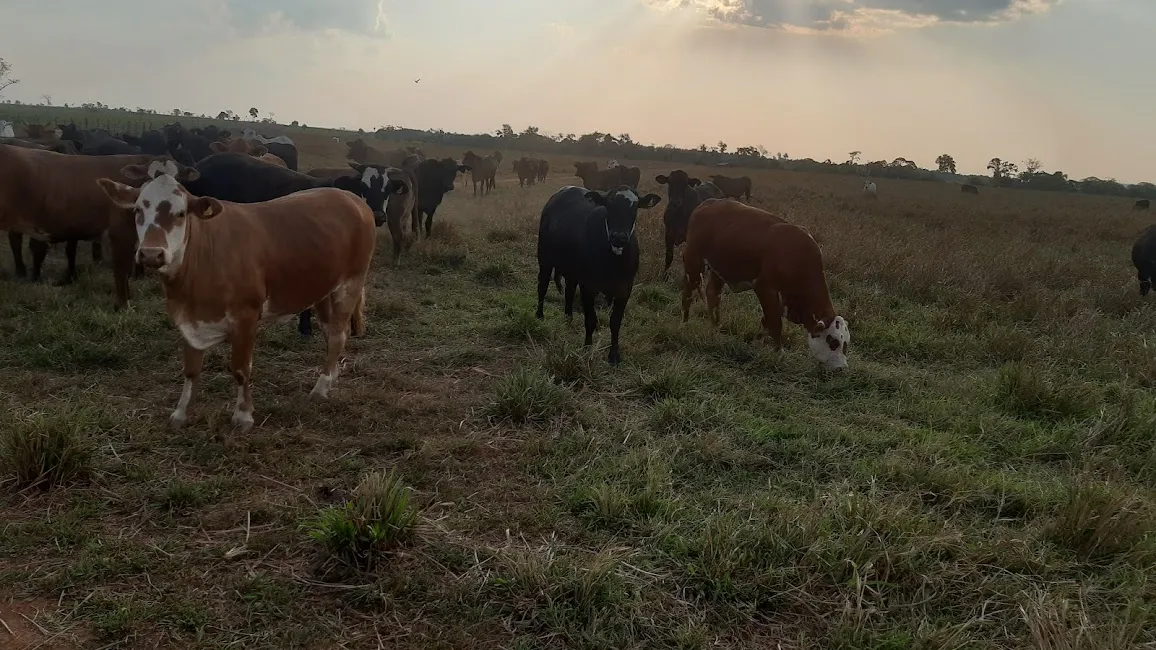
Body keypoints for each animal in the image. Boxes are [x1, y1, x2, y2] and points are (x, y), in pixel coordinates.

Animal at [95, 161, 374, 432]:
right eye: (138, 211)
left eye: (181, 214)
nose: (152, 254)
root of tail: (352, 198)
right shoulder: (189, 318)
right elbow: (191, 369)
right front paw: (181, 413)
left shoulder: (246, 316)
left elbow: (241, 369)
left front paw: (243, 415)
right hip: (323, 288)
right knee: (332, 332)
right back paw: (331, 377)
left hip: (351, 283)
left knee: (337, 335)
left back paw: (321, 387)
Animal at [534, 185, 661, 360]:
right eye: (609, 206)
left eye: (635, 207)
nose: (619, 237)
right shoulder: (588, 287)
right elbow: (590, 320)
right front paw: (587, 349)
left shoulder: (625, 289)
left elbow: (615, 322)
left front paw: (614, 355)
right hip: (544, 259)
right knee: (542, 286)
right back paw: (539, 315)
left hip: (572, 272)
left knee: (569, 292)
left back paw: (568, 318)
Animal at [675, 197, 850, 370]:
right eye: (833, 342)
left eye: (845, 343)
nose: (842, 368)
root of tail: (708, 202)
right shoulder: (766, 289)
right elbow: (775, 324)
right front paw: (779, 353)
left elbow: (766, 322)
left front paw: (756, 344)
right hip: (694, 262)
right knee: (688, 293)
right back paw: (685, 322)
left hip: (717, 269)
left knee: (712, 294)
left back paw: (715, 327)